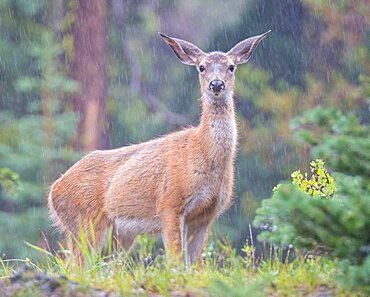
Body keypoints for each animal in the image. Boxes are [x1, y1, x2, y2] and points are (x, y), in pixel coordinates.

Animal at [47, 30, 270, 266]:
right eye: (201, 67)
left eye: (231, 66)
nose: (216, 84)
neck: (202, 152)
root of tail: (54, 191)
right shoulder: (169, 203)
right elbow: (176, 260)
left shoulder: (206, 215)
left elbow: (194, 265)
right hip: (85, 222)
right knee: (75, 266)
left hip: (117, 237)